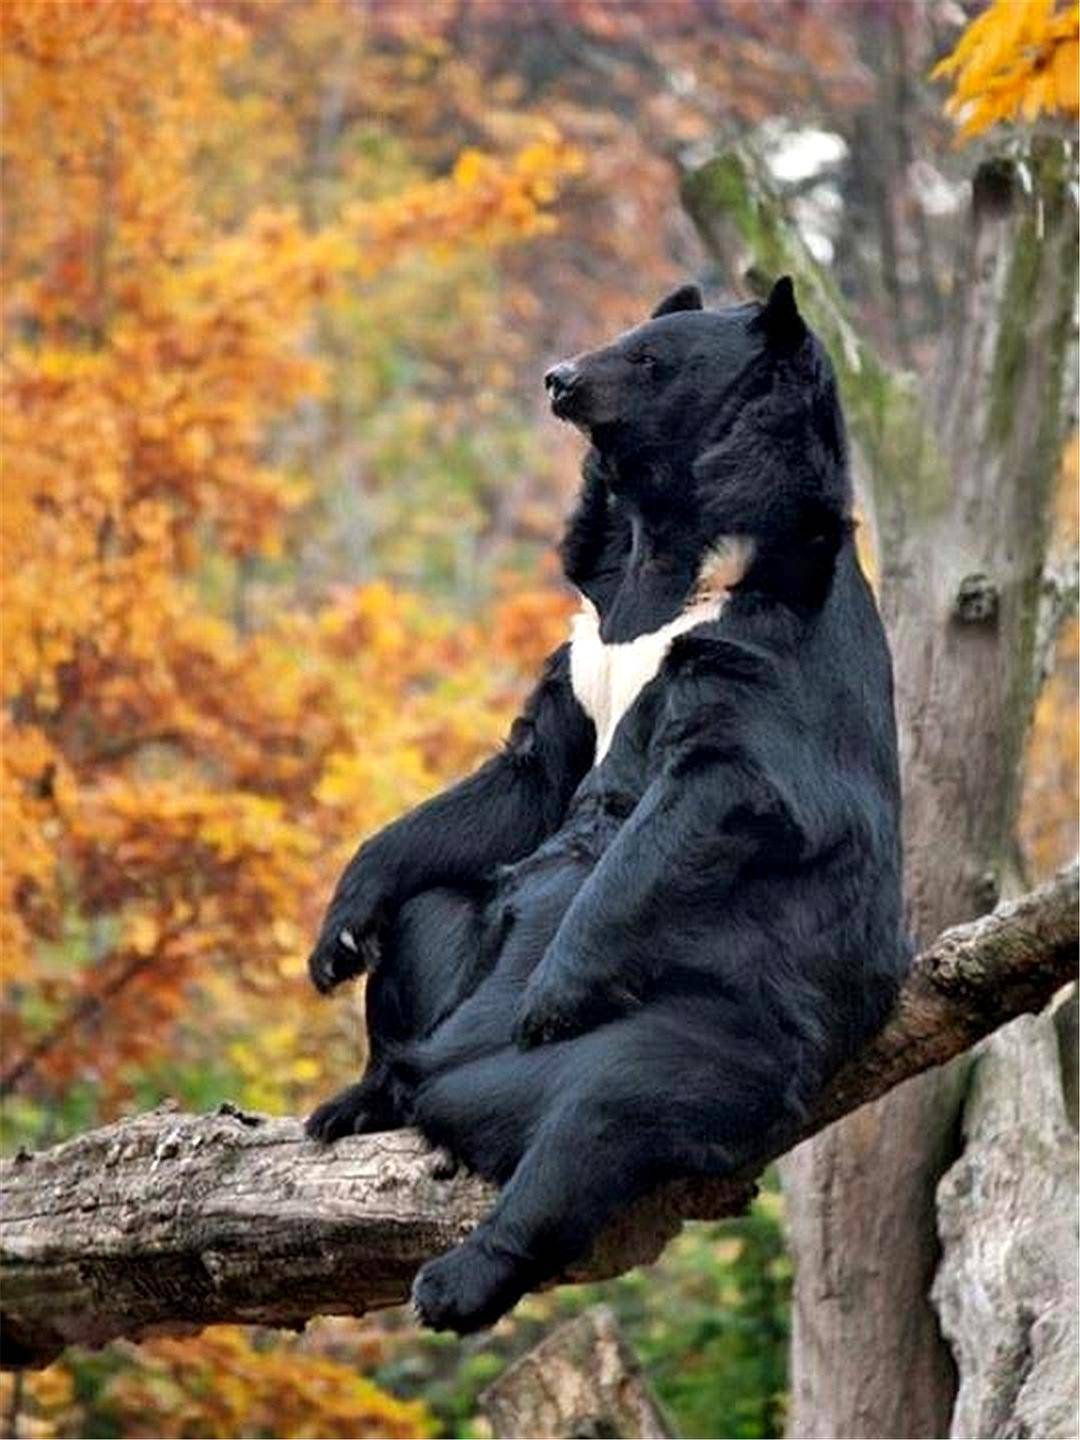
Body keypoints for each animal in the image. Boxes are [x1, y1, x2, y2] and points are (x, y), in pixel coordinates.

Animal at [305, 277, 909, 1334]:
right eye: (619, 337)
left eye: (648, 359)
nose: (559, 378)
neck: (664, 552)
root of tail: (447, 1088)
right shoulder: (587, 649)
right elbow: (524, 772)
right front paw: (334, 939)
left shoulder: (761, 646)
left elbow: (715, 789)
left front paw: (549, 997)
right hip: (464, 965)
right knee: (423, 925)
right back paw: (360, 1097)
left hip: (734, 1027)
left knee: (607, 1112)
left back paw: (456, 1280)